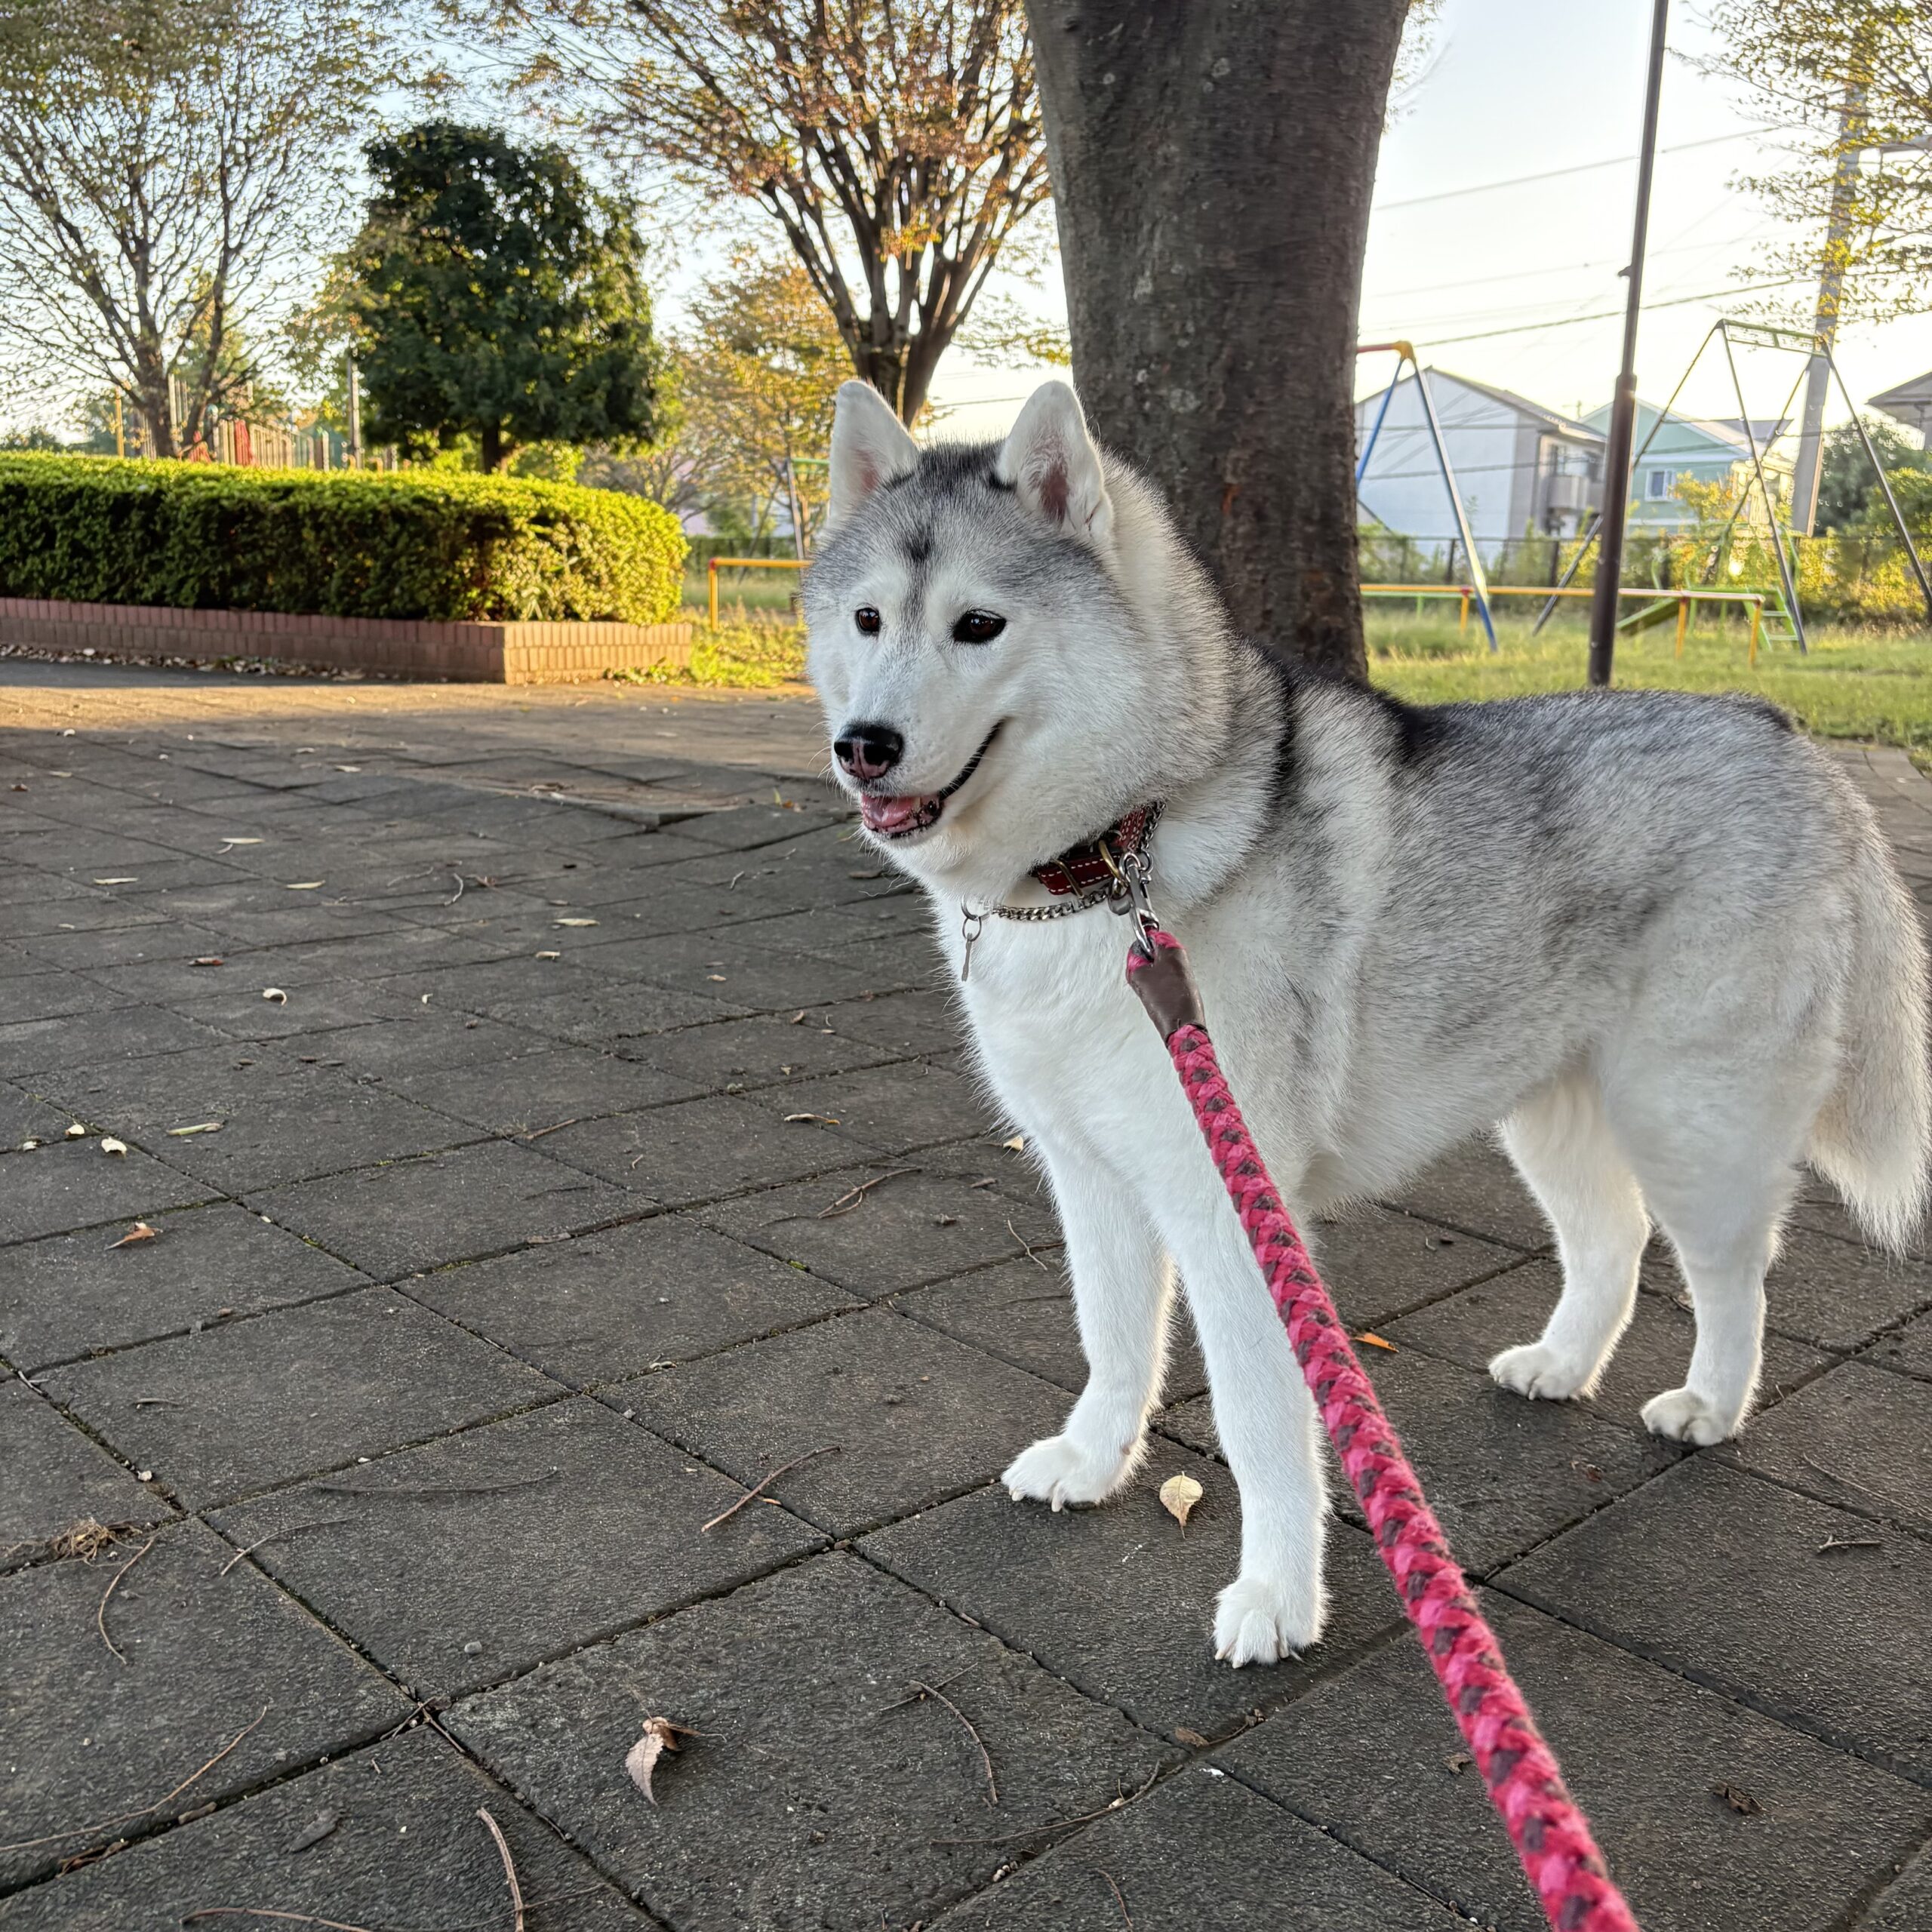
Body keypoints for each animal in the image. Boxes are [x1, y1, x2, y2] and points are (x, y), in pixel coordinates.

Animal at [803, 377, 1931, 1665]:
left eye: (979, 626)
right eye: (869, 620)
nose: (864, 747)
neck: (1107, 860)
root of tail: (1794, 740)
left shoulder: (1233, 1204)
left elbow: (1259, 1422)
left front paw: (1279, 1598)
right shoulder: (1090, 1178)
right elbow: (1111, 1339)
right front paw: (1094, 1463)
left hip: (1694, 1124)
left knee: (1733, 1274)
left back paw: (1710, 1403)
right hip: (1551, 1113)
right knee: (1613, 1240)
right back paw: (1561, 1365)